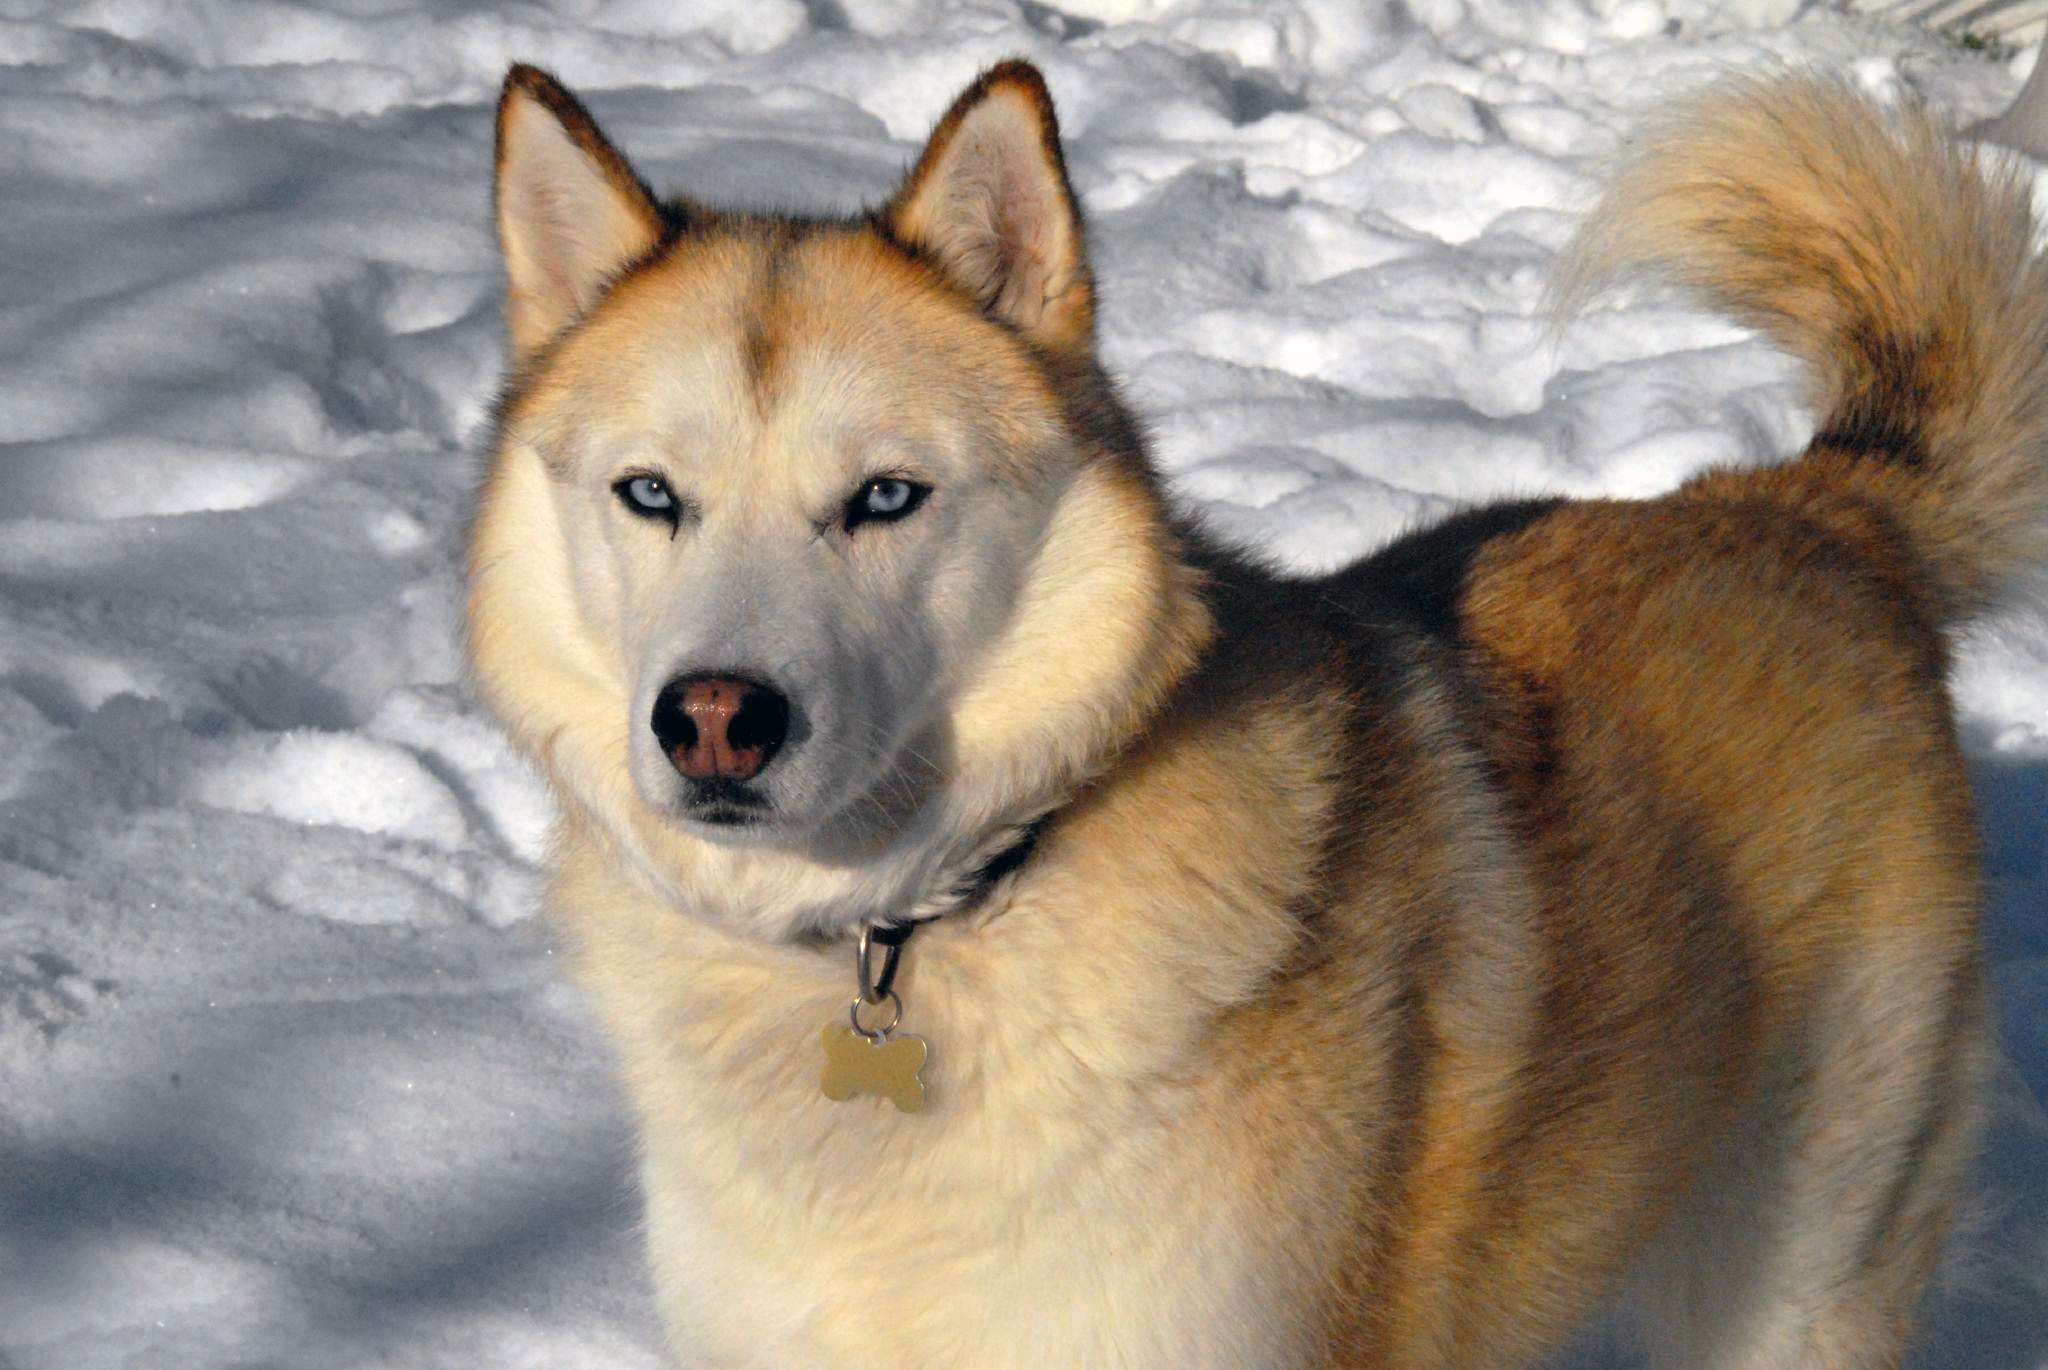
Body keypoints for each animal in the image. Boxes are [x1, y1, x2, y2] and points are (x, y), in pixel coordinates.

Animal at [468, 63, 2048, 1367]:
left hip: (1800, 1264)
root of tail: (1813, 504)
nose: (714, 718)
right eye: (650, 493)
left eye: (884, 497)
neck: (924, 922)